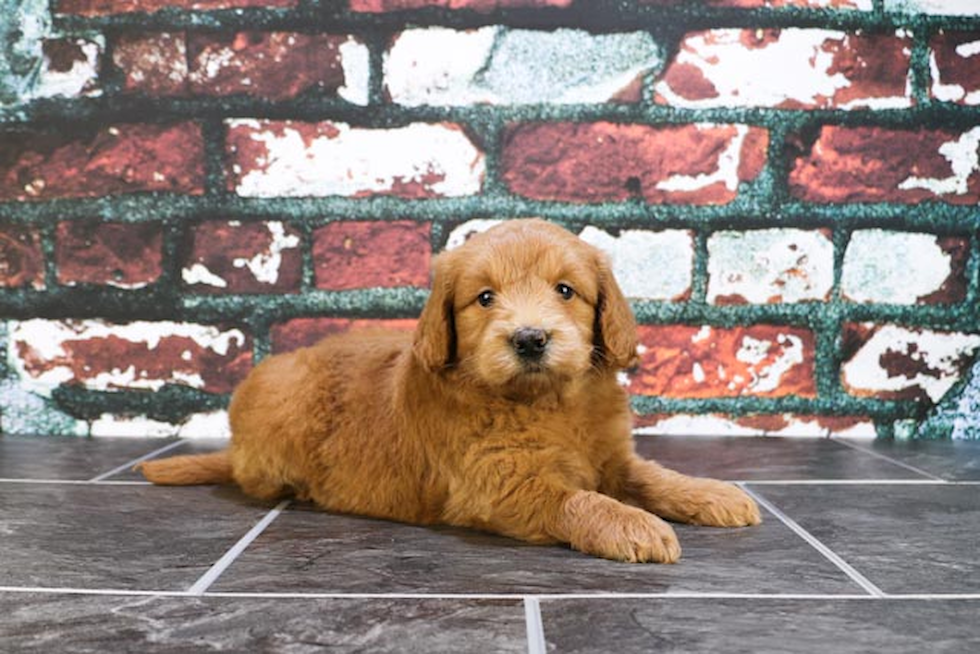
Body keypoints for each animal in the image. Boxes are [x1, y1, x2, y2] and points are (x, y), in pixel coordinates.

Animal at [140, 220, 756, 564]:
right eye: (484, 298)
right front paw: (633, 524)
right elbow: (579, 499)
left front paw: (712, 495)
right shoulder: (501, 486)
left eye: (566, 291)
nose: (530, 338)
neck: (546, 403)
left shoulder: (610, 456)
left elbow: (650, 476)